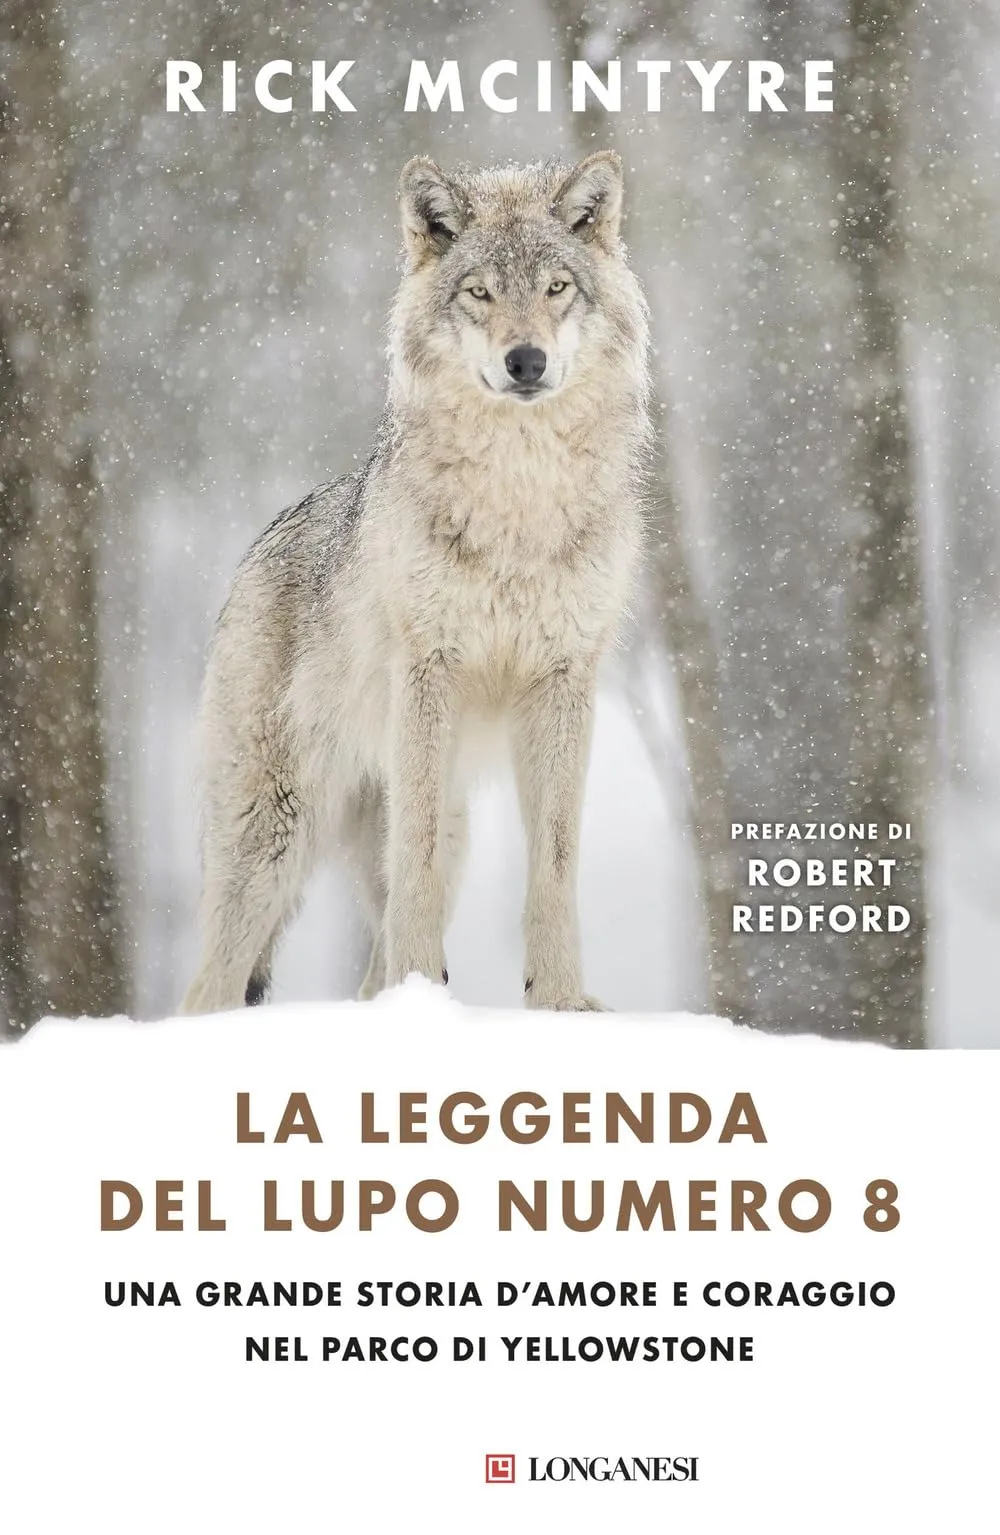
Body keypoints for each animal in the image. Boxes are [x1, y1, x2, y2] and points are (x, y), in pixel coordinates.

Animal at [181, 150, 651, 1016]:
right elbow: (418, 862)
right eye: (481, 293)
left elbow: (555, 861)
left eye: (556, 288)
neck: (518, 502)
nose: (526, 360)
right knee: (211, 986)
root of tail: (251, 557)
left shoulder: (566, 679)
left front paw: (560, 999)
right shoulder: (429, 668)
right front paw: (425, 989)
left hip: (436, 818)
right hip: (273, 837)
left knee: (370, 954)